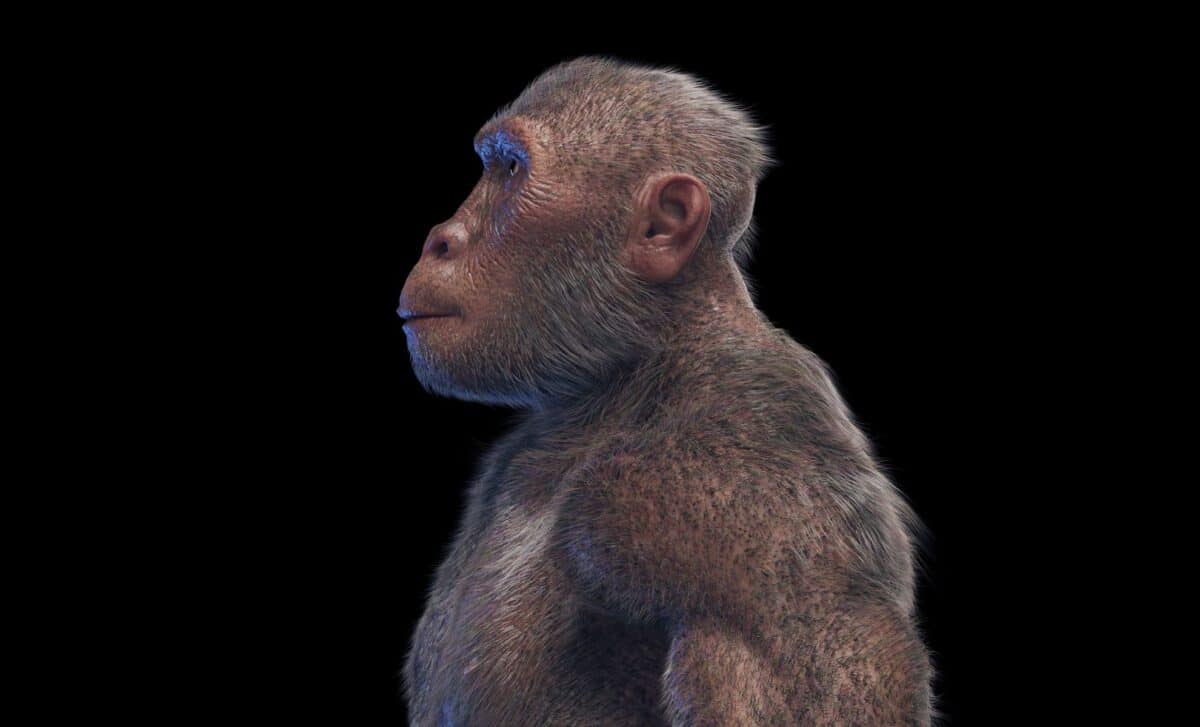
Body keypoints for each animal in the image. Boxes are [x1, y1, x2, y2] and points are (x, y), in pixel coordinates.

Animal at [398, 55, 936, 726]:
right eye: (488, 167)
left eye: (513, 170)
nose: (440, 238)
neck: (641, 368)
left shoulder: (725, 499)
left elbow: (834, 674)